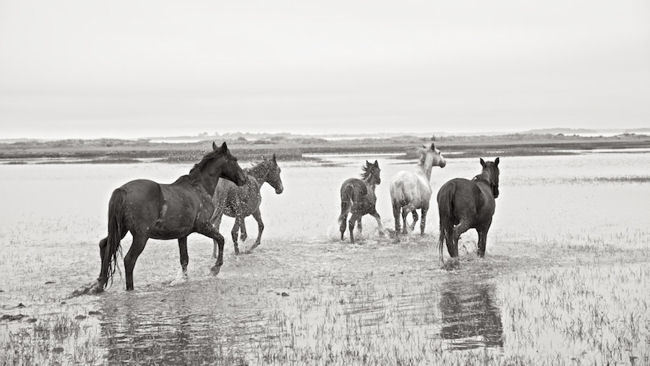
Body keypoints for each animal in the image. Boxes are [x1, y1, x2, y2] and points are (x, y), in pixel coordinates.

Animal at [93, 142, 248, 294]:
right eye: (234, 160)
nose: (244, 179)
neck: (199, 188)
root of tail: (123, 190)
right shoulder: (203, 226)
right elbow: (221, 239)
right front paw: (215, 269)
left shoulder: (182, 234)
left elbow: (184, 259)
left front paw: (184, 279)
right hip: (140, 236)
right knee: (129, 260)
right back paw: (129, 288)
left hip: (121, 231)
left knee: (105, 246)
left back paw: (99, 285)